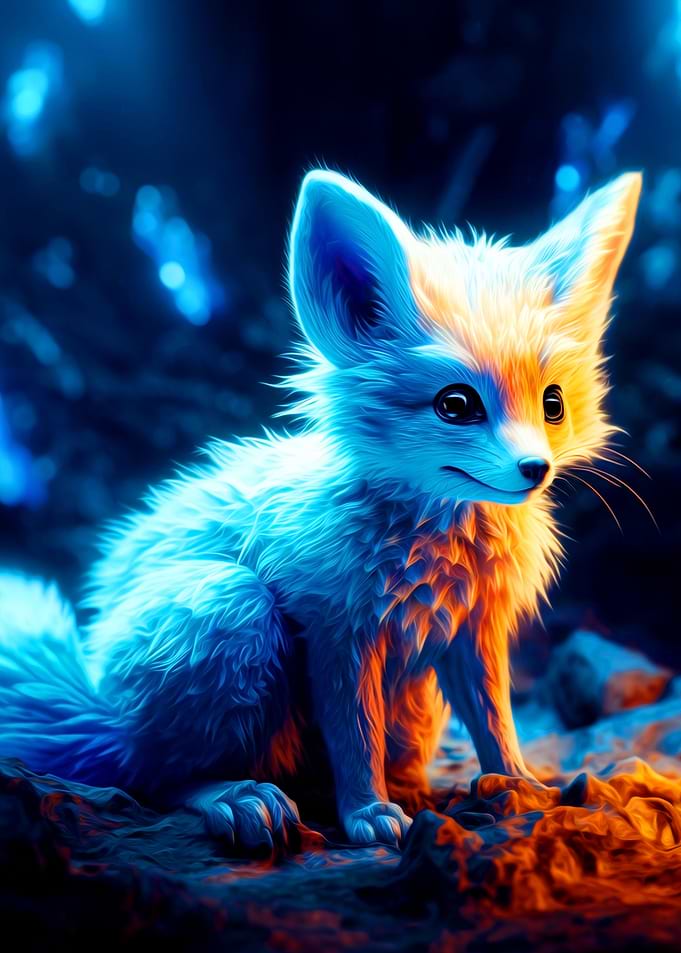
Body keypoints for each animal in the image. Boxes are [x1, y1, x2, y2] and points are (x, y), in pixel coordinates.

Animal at [0, 169, 641, 849]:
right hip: (230, 607)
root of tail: (100, 699)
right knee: (151, 775)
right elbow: (356, 737)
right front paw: (369, 815)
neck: (435, 541)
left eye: (553, 404)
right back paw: (237, 798)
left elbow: (496, 722)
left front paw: (524, 788)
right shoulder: (339, 631)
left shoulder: (474, 629)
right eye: (456, 404)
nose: (535, 470)